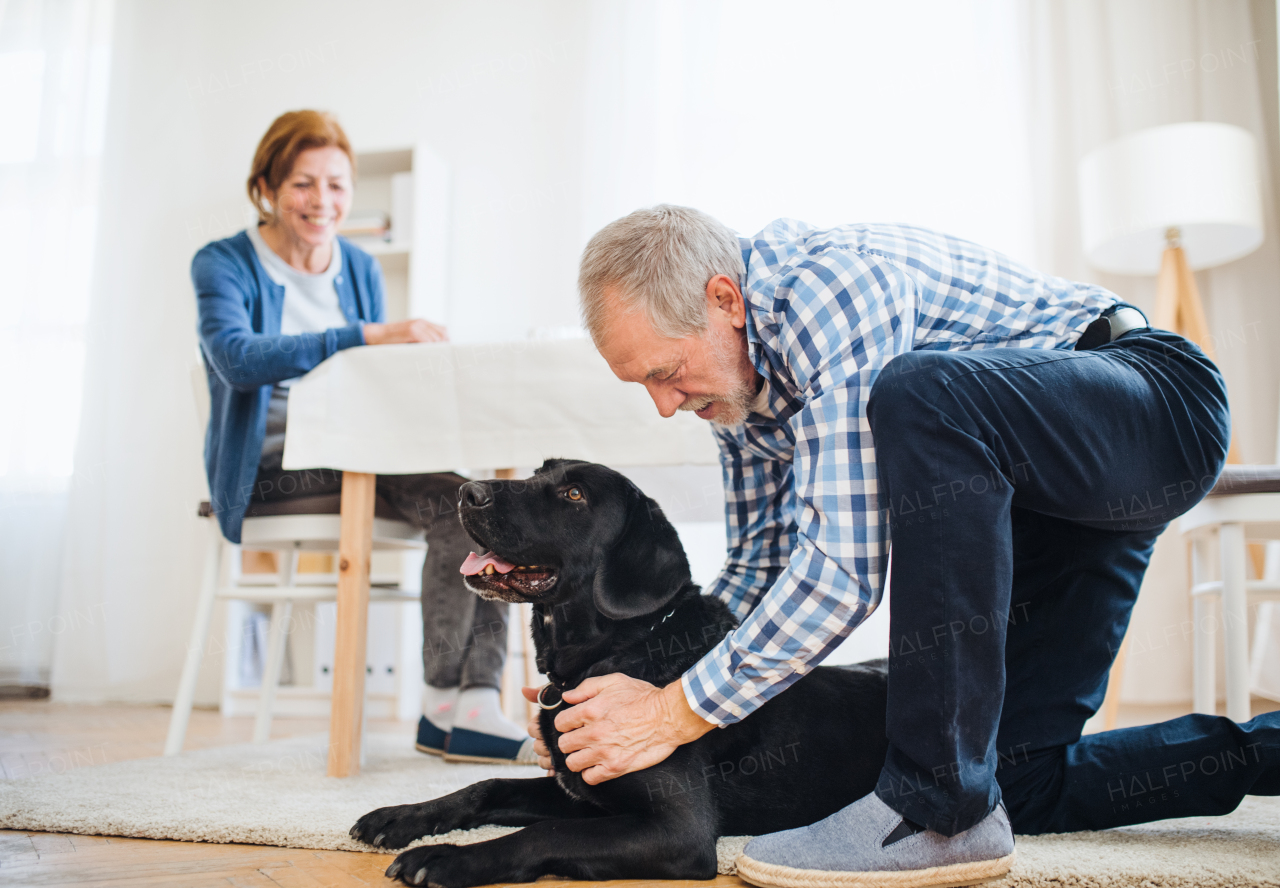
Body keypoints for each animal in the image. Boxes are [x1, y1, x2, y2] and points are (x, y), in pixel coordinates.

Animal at [350, 463, 890, 885]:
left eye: (574, 495)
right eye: (538, 472)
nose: (467, 492)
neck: (616, 651)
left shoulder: (677, 831)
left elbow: (543, 832)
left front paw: (447, 859)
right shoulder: (582, 791)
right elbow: (487, 786)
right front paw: (401, 817)